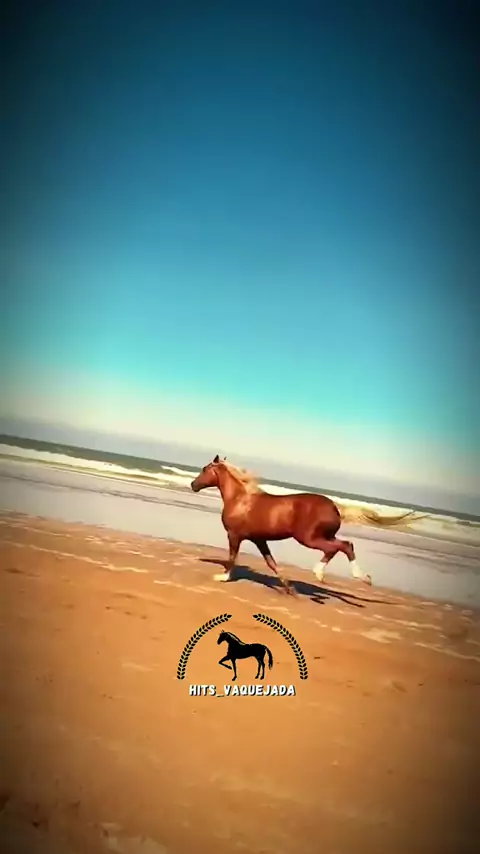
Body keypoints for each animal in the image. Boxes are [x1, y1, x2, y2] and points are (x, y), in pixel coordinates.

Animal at [191, 454, 417, 593]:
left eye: (204, 469)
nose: (193, 485)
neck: (239, 500)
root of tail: (334, 506)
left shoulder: (234, 535)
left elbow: (232, 557)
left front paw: (223, 577)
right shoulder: (259, 539)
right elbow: (271, 562)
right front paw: (288, 587)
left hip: (309, 538)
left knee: (340, 547)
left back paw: (327, 574)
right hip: (324, 535)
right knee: (345, 545)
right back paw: (357, 577)